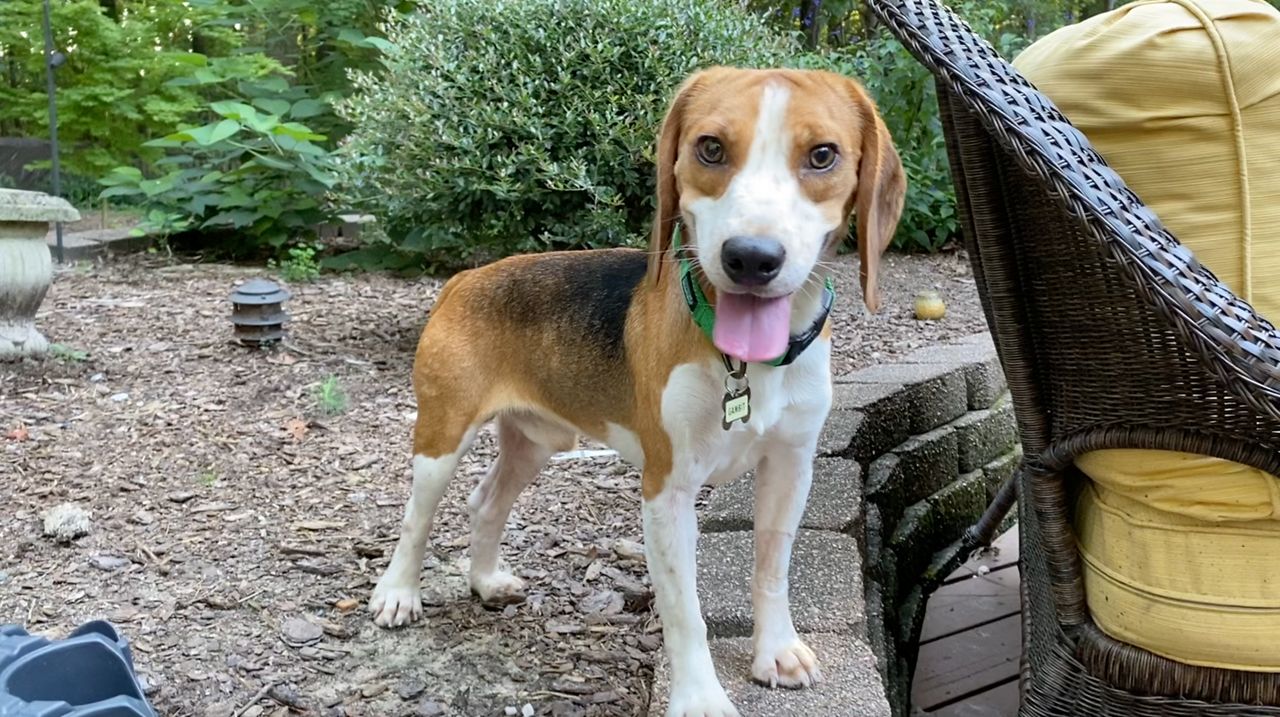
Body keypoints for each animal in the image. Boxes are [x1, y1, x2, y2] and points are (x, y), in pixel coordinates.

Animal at [368, 68, 911, 717]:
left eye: (823, 155)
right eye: (710, 148)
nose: (751, 258)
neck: (747, 365)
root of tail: (465, 278)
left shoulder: (792, 466)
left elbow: (772, 569)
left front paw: (775, 651)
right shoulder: (667, 491)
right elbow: (685, 613)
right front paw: (700, 699)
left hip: (536, 442)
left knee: (485, 502)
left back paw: (486, 581)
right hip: (442, 437)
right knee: (416, 519)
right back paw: (398, 594)